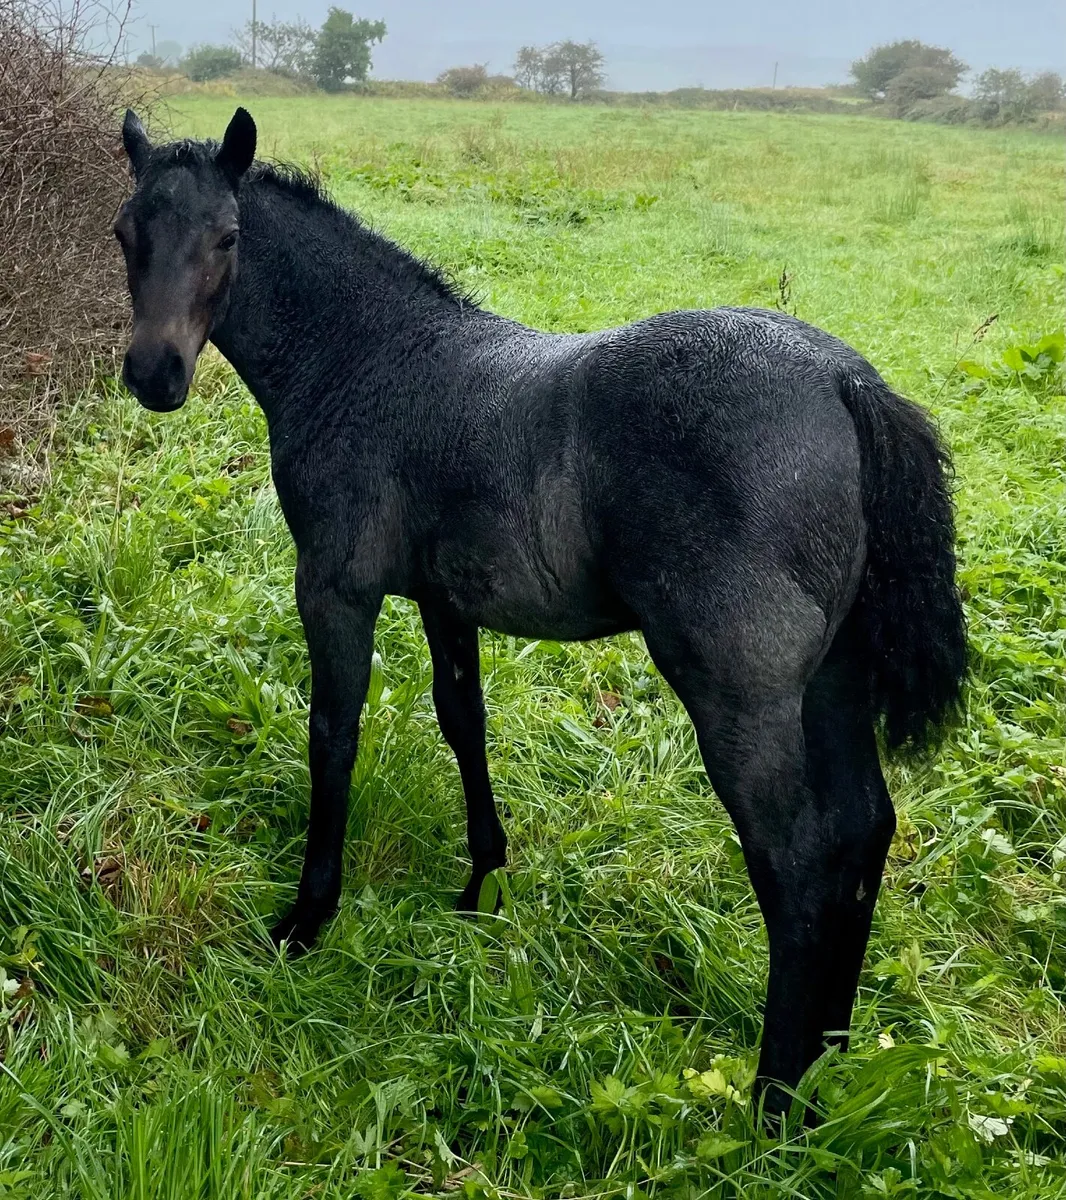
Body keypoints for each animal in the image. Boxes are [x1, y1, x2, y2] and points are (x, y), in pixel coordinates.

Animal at [114, 107, 966, 1112]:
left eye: (227, 237)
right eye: (126, 233)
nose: (154, 374)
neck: (367, 360)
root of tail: (846, 381)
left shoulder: (335, 588)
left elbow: (334, 736)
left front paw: (307, 918)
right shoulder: (445, 598)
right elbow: (463, 720)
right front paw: (482, 882)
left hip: (740, 695)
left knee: (800, 863)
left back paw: (773, 1097)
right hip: (832, 681)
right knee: (865, 832)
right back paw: (827, 1056)